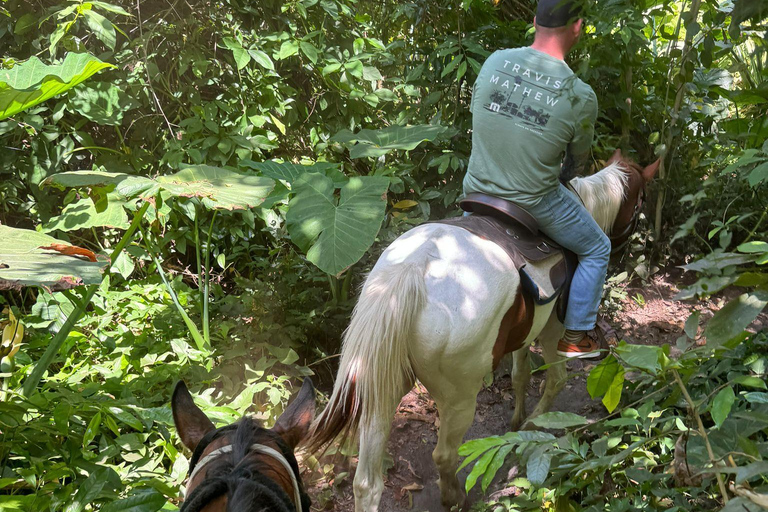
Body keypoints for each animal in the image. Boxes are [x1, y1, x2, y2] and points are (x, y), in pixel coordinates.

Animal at [308, 153, 656, 512]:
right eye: (642, 200)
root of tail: (414, 269)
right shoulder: (553, 328)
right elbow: (556, 380)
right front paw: (533, 425)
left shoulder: (525, 331)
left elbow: (520, 375)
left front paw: (518, 421)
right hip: (459, 394)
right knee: (444, 455)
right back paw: (455, 497)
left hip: (380, 382)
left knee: (367, 482)